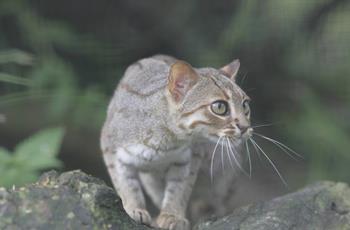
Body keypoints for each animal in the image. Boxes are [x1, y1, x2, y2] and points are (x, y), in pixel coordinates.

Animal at [100, 55, 253, 230]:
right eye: (220, 107)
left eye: (245, 105)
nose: (245, 127)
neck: (165, 142)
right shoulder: (110, 146)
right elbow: (126, 184)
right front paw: (132, 208)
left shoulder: (190, 158)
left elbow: (179, 190)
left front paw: (172, 216)